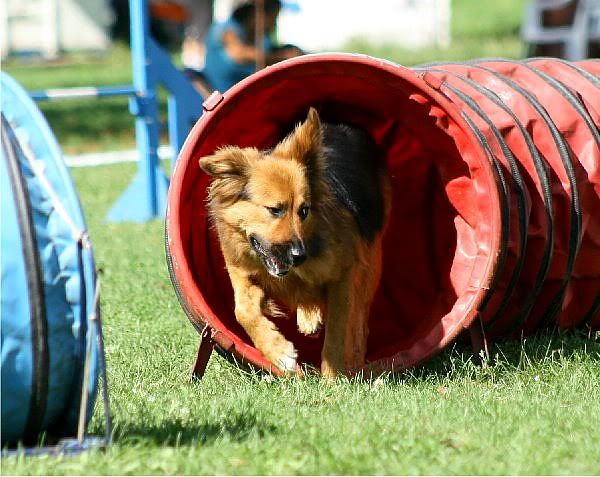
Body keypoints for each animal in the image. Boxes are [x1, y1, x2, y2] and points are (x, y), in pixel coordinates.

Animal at [199, 108, 391, 377]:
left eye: (304, 210)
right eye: (275, 210)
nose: (299, 256)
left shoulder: (344, 274)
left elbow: (338, 331)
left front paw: (333, 378)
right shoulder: (241, 271)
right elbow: (243, 311)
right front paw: (278, 352)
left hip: (370, 261)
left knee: (359, 317)